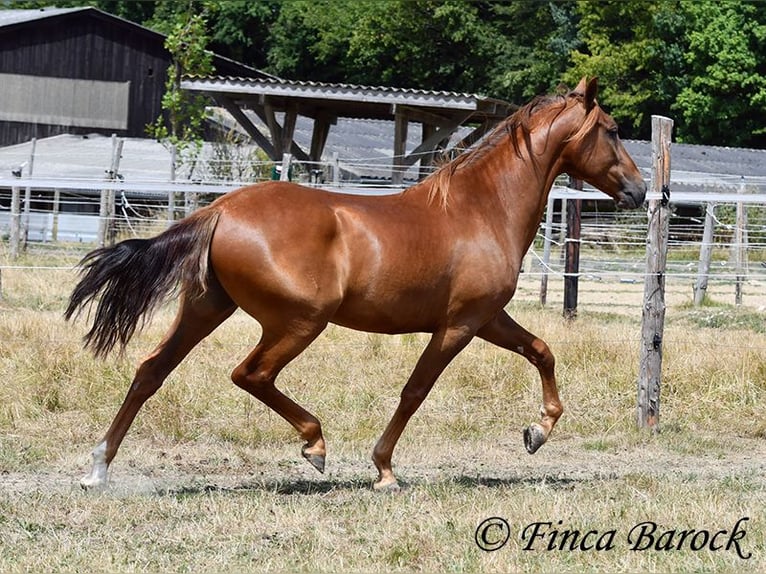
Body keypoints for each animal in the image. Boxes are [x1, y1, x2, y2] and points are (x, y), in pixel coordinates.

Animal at [66, 77, 646, 491]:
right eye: (613, 129)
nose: (641, 192)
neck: (481, 209)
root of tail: (222, 208)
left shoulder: (488, 317)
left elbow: (542, 350)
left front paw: (537, 433)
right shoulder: (459, 325)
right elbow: (415, 391)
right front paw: (384, 470)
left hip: (207, 309)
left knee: (150, 371)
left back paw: (97, 469)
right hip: (299, 321)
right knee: (250, 374)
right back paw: (315, 446)